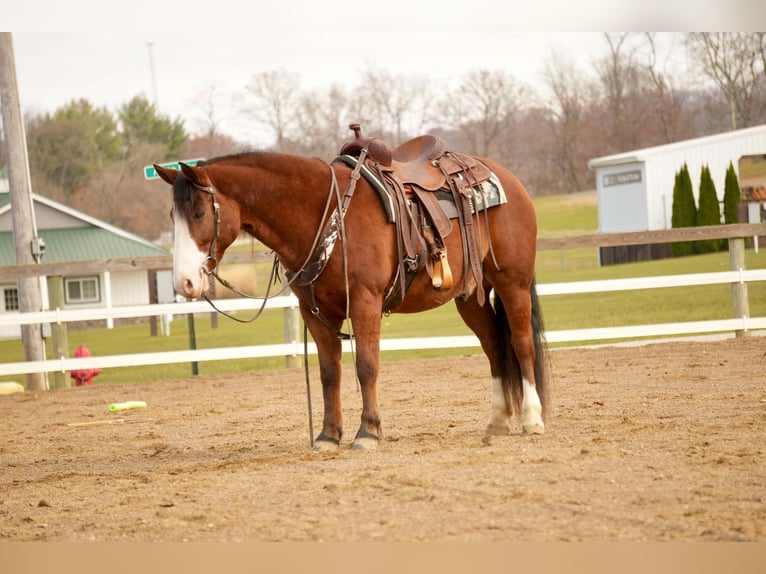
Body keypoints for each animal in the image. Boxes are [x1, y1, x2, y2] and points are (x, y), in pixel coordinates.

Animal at [156, 133, 548, 452]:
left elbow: (366, 366)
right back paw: (498, 421)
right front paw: (328, 436)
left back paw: (532, 418)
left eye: (199, 211)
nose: (183, 283)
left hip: (512, 283)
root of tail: (506, 179)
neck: (325, 212)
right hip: (470, 296)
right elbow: (330, 372)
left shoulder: (365, 301)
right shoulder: (314, 312)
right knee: (495, 348)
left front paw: (368, 432)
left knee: (521, 343)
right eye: (173, 216)